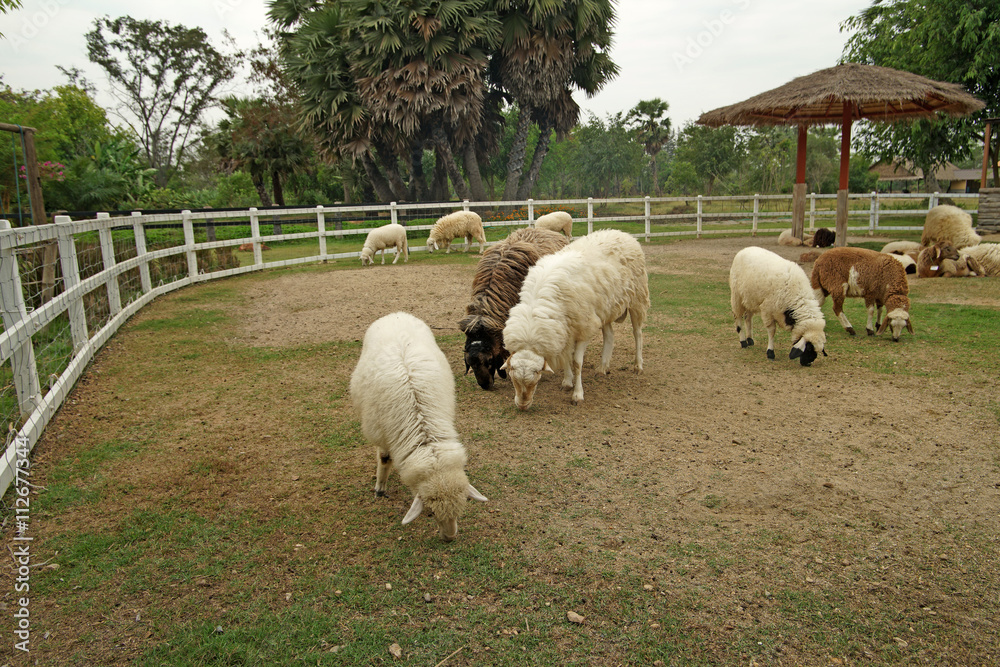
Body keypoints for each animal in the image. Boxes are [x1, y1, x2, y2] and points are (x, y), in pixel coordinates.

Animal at [349, 312, 488, 541]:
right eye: (430, 512)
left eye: (462, 506)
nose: (449, 538)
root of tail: (396, 314)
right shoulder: (380, 433)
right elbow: (384, 459)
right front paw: (380, 489)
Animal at [501, 229, 649, 409]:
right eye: (513, 380)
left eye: (536, 379)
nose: (522, 406)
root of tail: (623, 233)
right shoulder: (565, 329)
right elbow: (566, 358)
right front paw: (567, 382)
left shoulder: (584, 327)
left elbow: (577, 363)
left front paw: (577, 394)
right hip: (604, 308)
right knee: (609, 335)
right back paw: (603, 367)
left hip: (637, 297)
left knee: (637, 333)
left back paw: (638, 365)